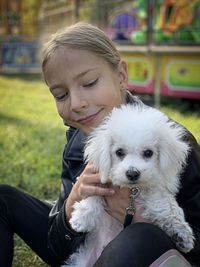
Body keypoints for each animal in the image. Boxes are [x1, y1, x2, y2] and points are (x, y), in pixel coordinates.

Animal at [63, 103, 195, 266]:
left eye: (148, 153)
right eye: (119, 152)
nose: (132, 173)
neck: (131, 189)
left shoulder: (156, 187)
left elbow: (165, 205)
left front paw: (180, 233)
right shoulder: (96, 178)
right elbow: (95, 192)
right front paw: (82, 218)